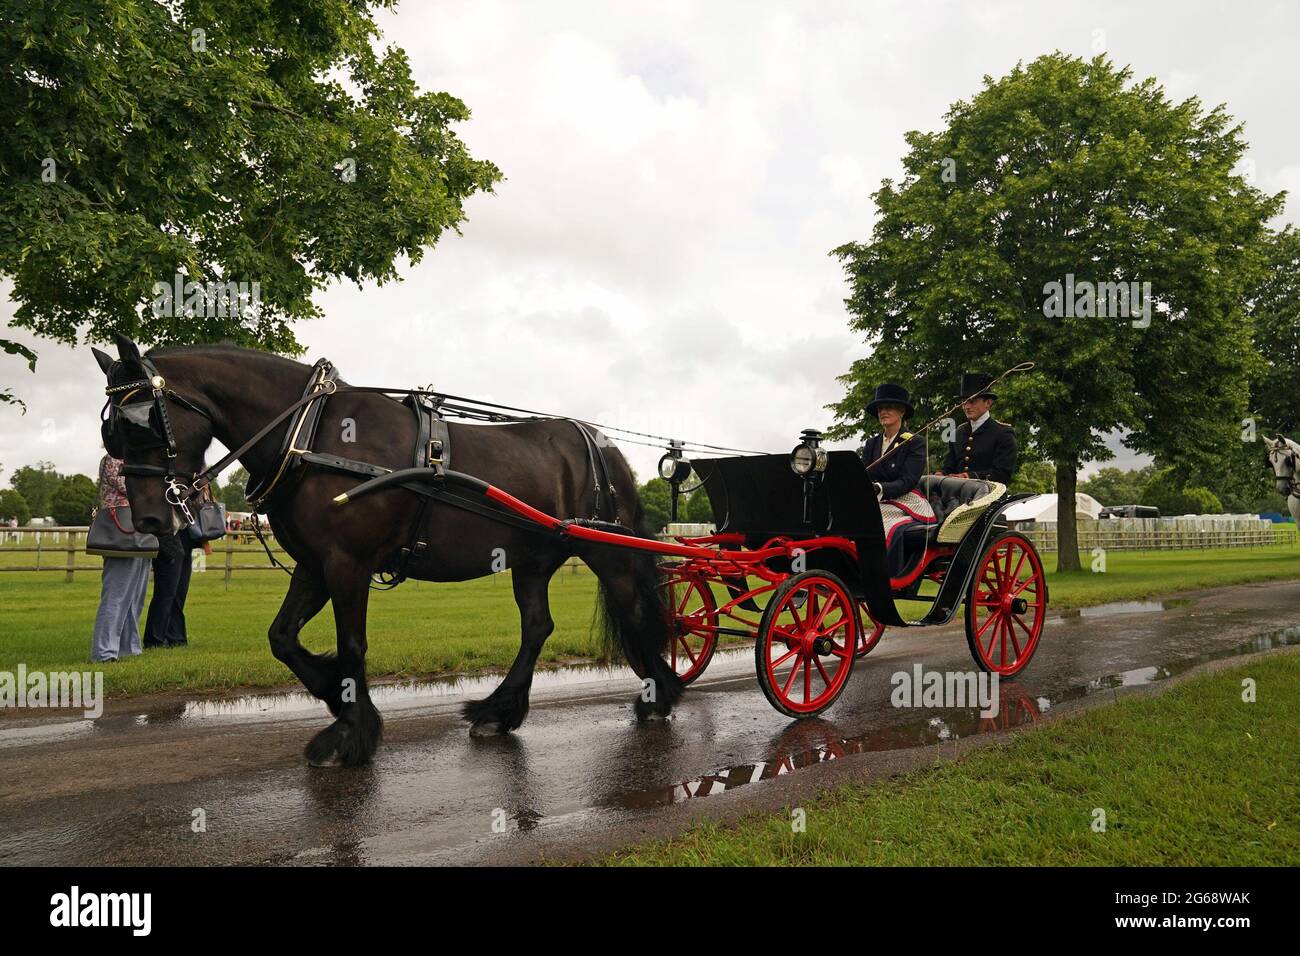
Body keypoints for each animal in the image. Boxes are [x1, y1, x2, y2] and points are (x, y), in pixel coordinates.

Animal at [94, 332, 681, 764]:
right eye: (111, 434)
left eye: (141, 423)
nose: (149, 519)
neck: (313, 434)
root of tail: (600, 442)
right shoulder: (314, 565)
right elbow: (282, 638)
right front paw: (335, 694)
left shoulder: (347, 564)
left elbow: (352, 644)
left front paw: (350, 733)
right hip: (533, 559)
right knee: (537, 627)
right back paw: (499, 711)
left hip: (606, 551)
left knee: (632, 608)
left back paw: (659, 693)